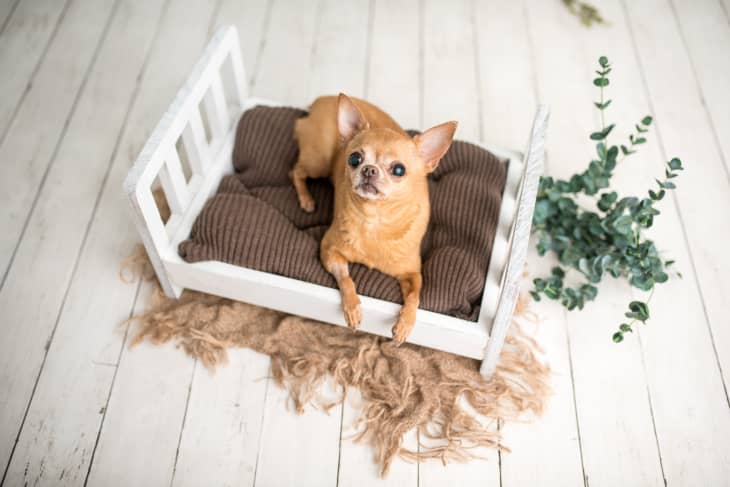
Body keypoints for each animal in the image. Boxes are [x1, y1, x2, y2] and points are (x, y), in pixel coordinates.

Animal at [290, 91, 456, 344]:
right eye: (354, 159)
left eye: (399, 170)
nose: (369, 169)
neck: (375, 219)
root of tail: (322, 99)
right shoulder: (329, 251)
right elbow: (346, 278)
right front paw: (352, 308)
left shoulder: (412, 273)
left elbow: (415, 296)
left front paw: (405, 325)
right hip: (319, 160)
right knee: (296, 172)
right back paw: (306, 199)